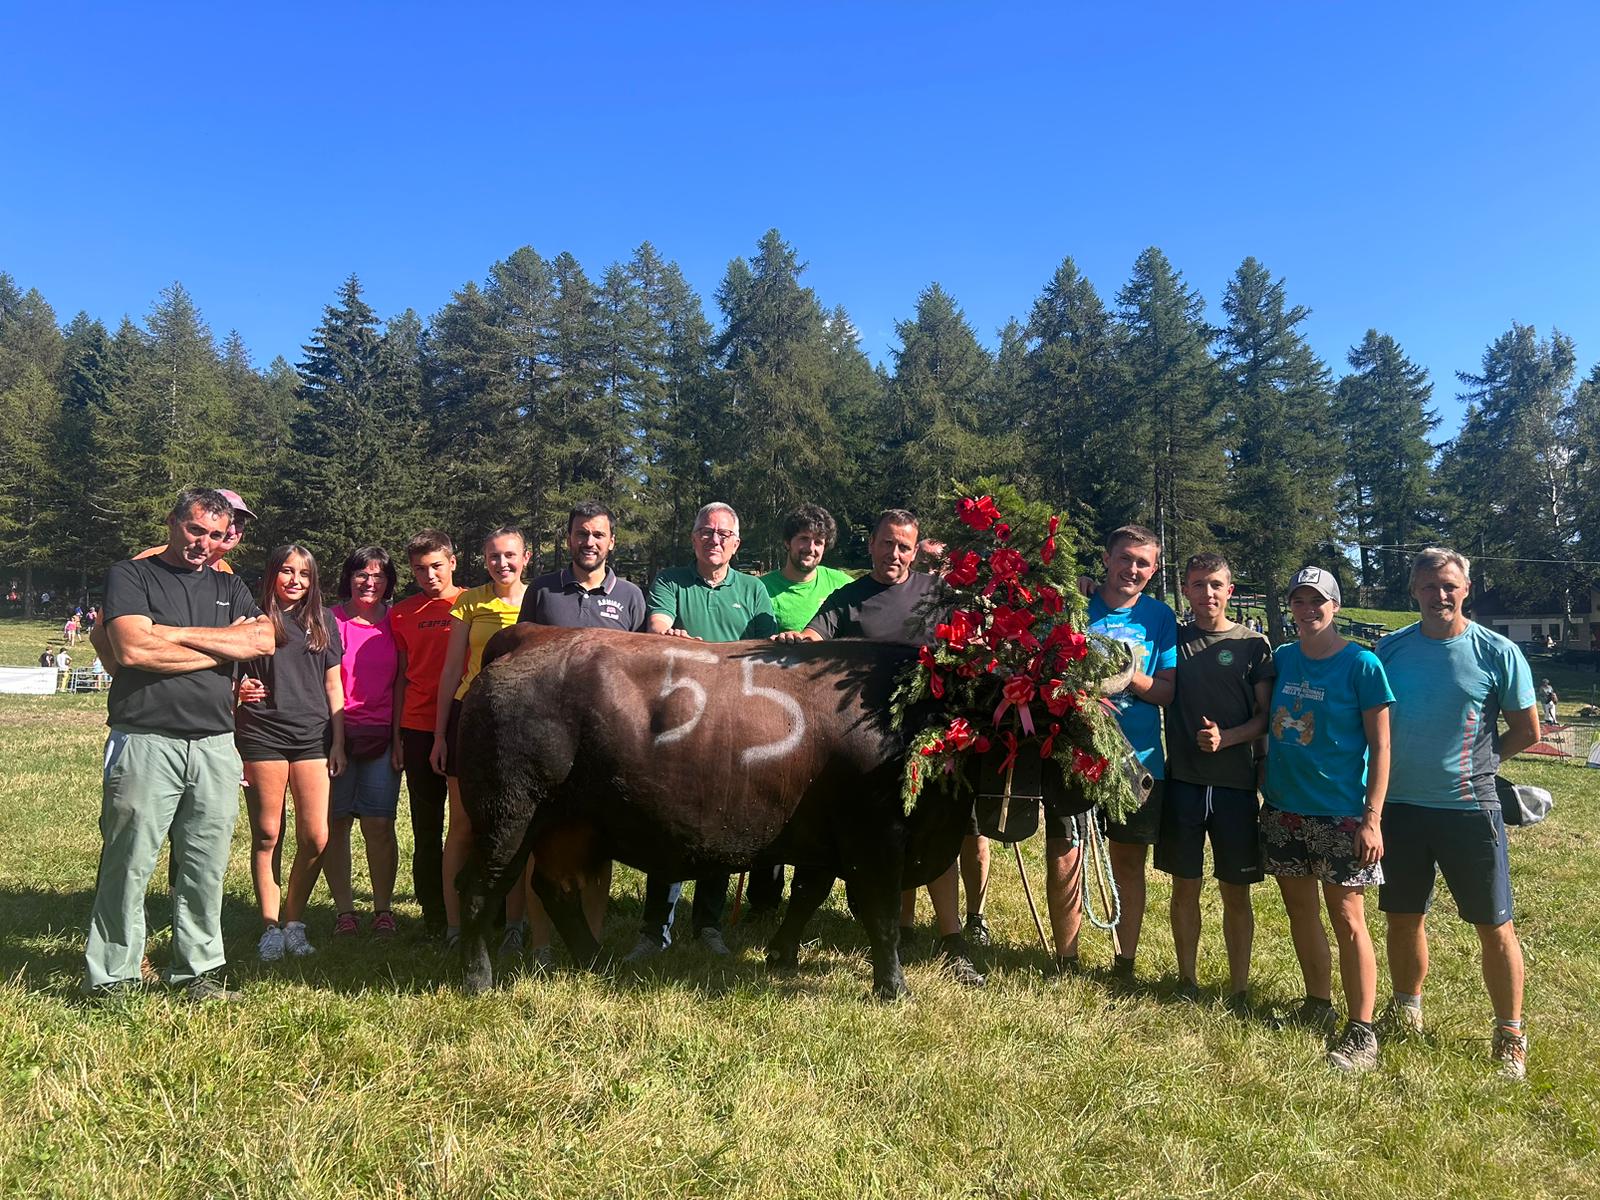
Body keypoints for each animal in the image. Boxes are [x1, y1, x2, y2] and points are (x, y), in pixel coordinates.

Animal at [448, 624, 972, 998]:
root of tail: (530, 636)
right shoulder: (875, 840)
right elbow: (881, 917)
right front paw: (894, 989)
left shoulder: (828, 842)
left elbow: (807, 894)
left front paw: (781, 955)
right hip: (507, 817)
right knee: (478, 888)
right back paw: (478, 980)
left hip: (567, 826)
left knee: (554, 887)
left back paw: (596, 959)